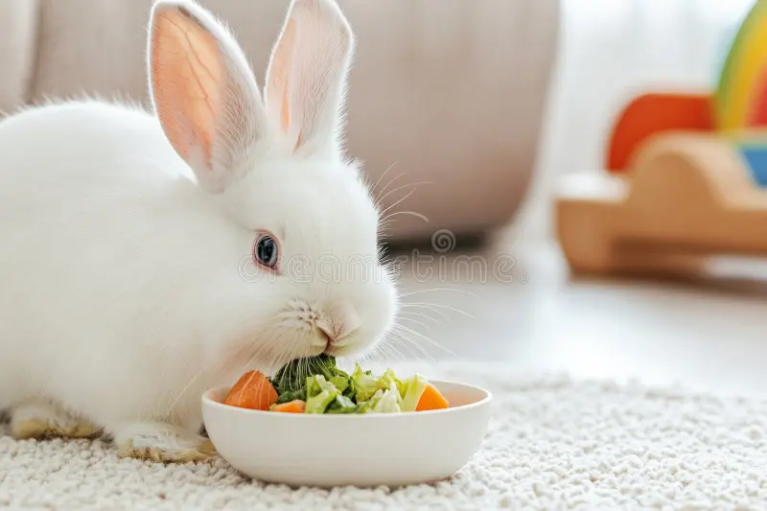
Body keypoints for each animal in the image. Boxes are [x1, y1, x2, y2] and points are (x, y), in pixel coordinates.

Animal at [0, 0, 397, 462]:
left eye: (372, 240)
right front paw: (174, 446)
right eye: (265, 250)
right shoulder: (115, 374)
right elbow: (135, 421)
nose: (339, 324)